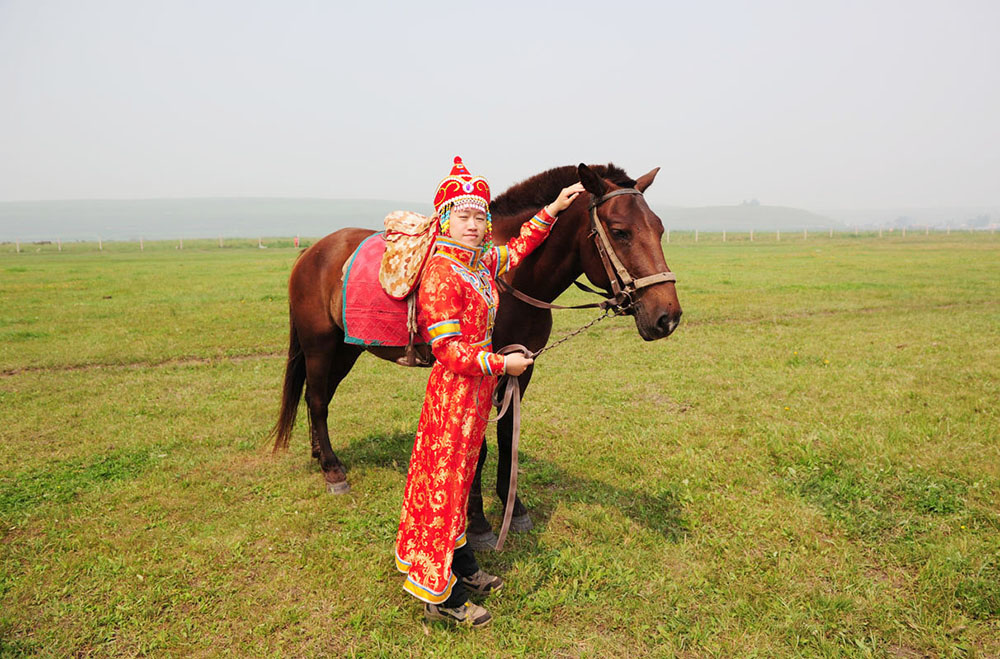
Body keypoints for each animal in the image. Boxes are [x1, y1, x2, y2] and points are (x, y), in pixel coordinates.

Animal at [270, 162, 684, 548]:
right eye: (620, 231)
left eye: (660, 228)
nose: (667, 317)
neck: (515, 278)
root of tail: (311, 252)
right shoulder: (481, 370)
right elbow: (479, 448)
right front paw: (479, 521)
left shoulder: (523, 367)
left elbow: (507, 434)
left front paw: (514, 509)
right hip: (320, 346)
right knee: (318, 400)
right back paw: (332, 470)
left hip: (346, 350)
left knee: (317, 398)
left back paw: (319, 455)